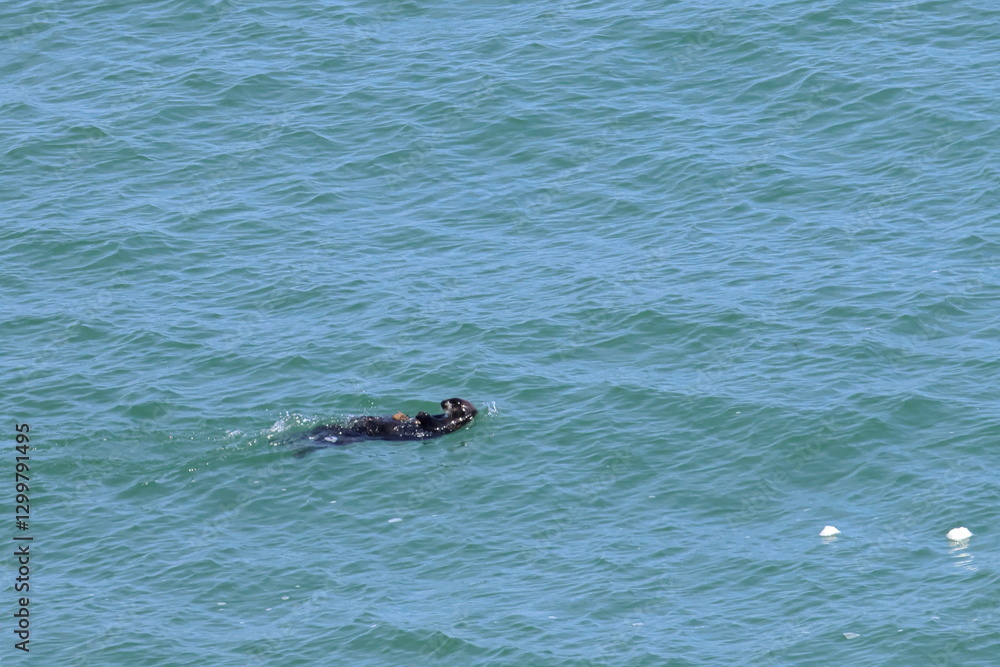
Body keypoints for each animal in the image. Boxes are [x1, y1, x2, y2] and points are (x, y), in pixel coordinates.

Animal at [295, 398, 477, 456]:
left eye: (454, 402)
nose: (442, 402)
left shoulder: (446, 426)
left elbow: (433, 424)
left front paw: (421, 414)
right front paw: (412, 415)